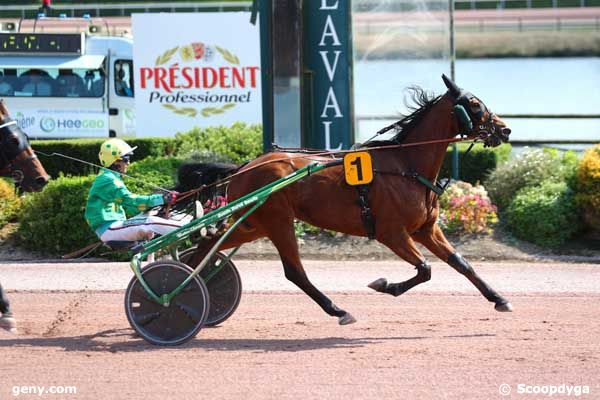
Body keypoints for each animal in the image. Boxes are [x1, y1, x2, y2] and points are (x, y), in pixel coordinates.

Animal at [180, 75, 512, 324]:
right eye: (474, 104)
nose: (505, 129)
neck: (407, 165)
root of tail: (244, 167)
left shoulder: (425, 229)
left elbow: (461, 263)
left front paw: (499, 298)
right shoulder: (391, 233)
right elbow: (425, 269)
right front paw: (385, 285)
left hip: (254, 223)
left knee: (210, 242)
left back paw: (188, 287)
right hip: (277, 222)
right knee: (294, 271)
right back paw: (337, 310)